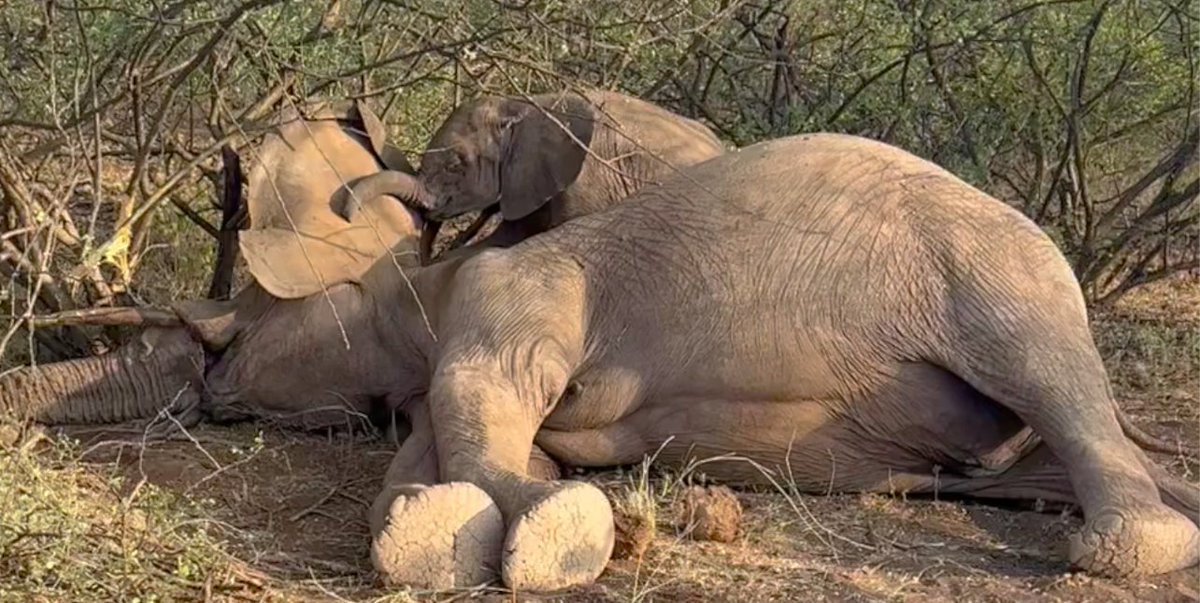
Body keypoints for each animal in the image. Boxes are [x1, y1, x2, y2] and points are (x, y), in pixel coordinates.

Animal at [3, 131, 1198, 593]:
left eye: (236, 328)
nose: (210, 387)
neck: (419, 277)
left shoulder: (513, 295)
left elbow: (486, 402)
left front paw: (568, 535)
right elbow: (434, 456)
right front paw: (462, 530)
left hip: (1004, 272)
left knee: (1052, 378)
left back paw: (1121, 547)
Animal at [345, 88, 727, 263]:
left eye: (456, 165)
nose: (346, 214)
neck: (525, 105)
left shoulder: (585, 179)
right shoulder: (531, 179)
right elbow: (510, 235)